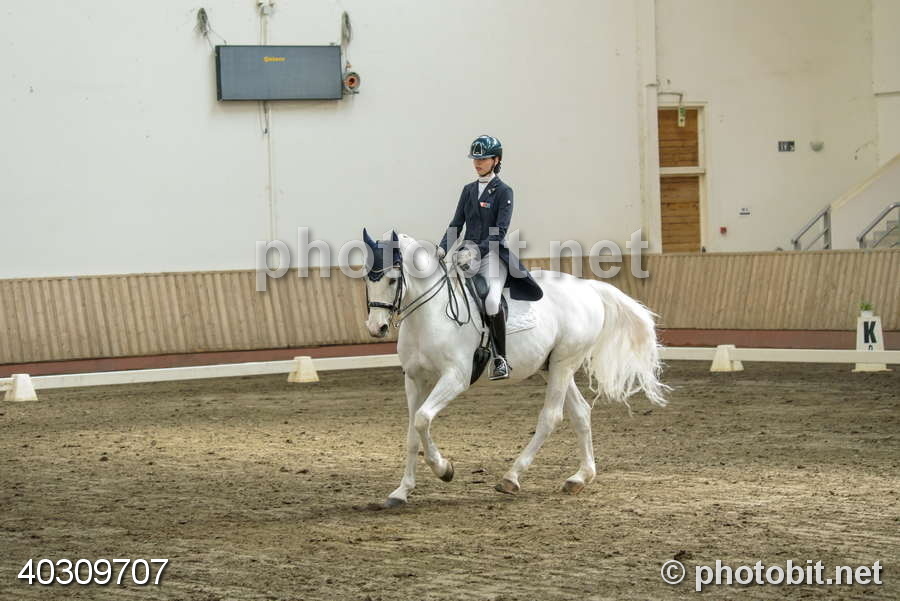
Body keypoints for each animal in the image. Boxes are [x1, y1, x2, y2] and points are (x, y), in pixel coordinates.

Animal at [361, 230, 668, 508]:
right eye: (367, 278)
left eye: (392, 279)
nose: (377, 328)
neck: (429, 314)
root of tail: (588, 287)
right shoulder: (414, 380)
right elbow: (413, 432)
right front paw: (401, 491)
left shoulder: (455, 378)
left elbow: (423, 419)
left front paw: (444, 469)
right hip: (553, 366)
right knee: (580, 412)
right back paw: (580, 478)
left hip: (564, 362)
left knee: (551, 417)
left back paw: (511, 478)